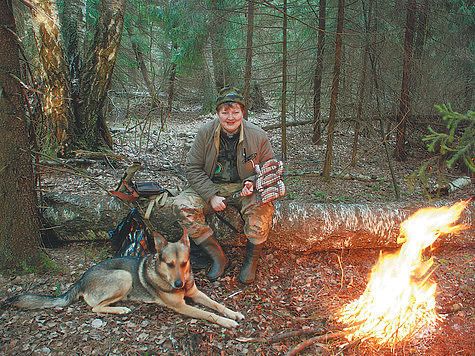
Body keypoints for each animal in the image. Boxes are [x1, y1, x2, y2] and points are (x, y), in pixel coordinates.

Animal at [5, 231, 245, 328]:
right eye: (170, 264)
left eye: (185, 263)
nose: (179, 285)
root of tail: (81, 279)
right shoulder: (182, 306)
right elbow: (208, 314)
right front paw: (227, 322)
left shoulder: (195, 293)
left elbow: (216, 304)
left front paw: (233, 313)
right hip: (123, 276)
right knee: (95, 307)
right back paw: (120, 309)